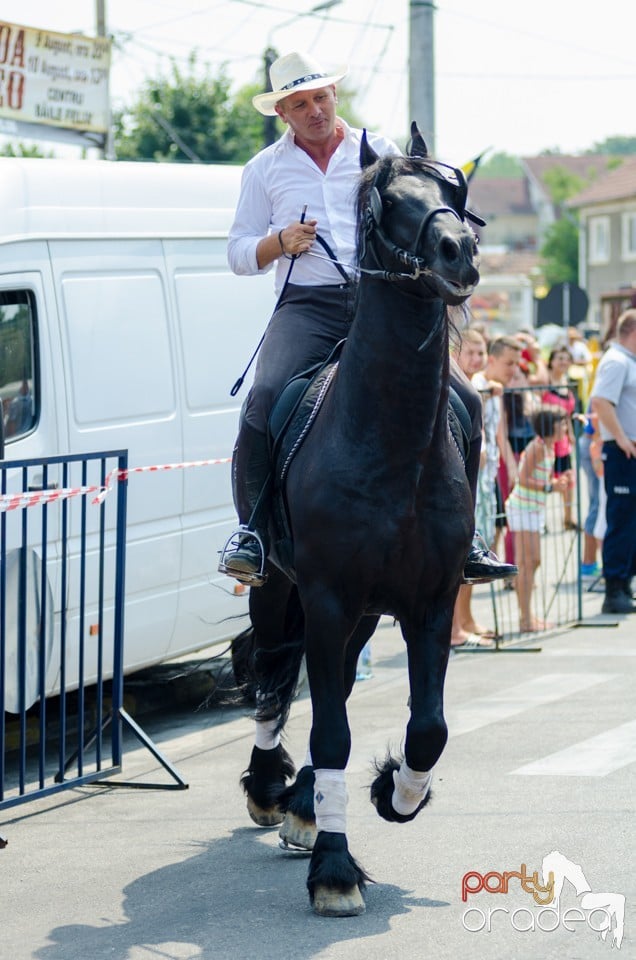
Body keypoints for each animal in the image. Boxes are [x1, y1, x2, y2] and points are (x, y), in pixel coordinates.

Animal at [236, 124, 480, 920]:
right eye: (385, 205)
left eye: (454, 191)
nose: (459, 250)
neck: (390, 445)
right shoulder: (328, 597)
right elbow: (331, 727)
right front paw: (336, 871)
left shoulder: (431, 602)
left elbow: (427, 728)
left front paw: (395, 793)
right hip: (283, 591)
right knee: (274, 677)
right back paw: (273, 792)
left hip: (362, 612)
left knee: (330, 682)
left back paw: (305, 804)